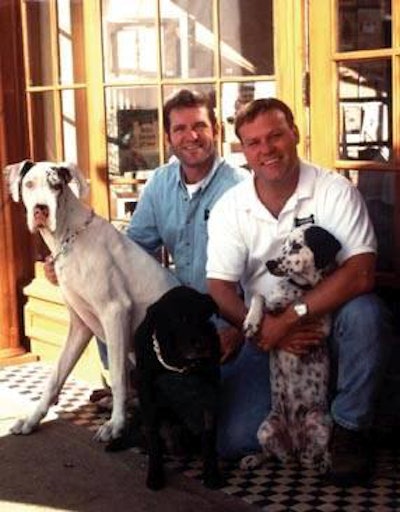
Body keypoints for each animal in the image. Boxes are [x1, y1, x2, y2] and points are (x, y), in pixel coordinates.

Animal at [134, 286, 222, 490]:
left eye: (204, 316)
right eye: (180, 319)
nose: (203, 344)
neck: (179, 365)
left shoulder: (210, 395)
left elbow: (209, 437)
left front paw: (211, 474)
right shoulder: (147, 396)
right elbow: (153, 439)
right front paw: (155, 475)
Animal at [241, 224, 340, 472]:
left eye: (296, 245)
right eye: (284, 244)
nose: (269, 264)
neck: (300, 287)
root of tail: (295, 443)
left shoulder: (321, 325)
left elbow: (295, 306)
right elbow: (260, 297)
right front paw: (251, 321)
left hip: (320, 422)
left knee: (313, 455)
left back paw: (324, 461)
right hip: (266, 429)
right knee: (275, 455)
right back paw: (254, 458)